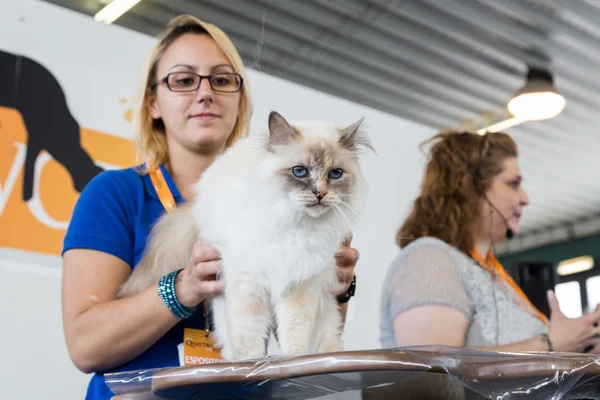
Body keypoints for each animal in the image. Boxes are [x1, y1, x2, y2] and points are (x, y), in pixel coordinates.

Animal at [116, 111, 370, 360]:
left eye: (335, 174)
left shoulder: (299, 288)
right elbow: (250, 342)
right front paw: (254, 366)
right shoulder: (249, 287)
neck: (294, 225)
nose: (320, 194)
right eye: (300, 171)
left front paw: (292, 361)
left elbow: (294, 336)